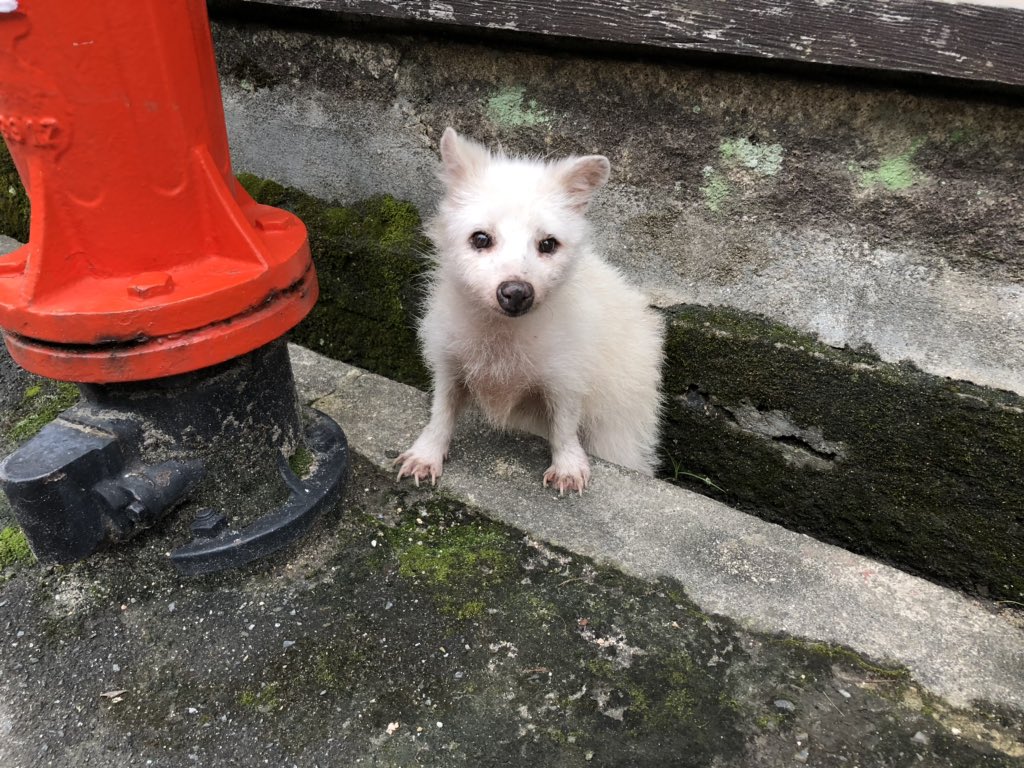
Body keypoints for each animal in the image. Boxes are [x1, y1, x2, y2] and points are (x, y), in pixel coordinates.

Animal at [391, 129, 663, 495]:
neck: (502, 332)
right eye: (480, 238)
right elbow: (442, 410)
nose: (517, 293)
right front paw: (426, 453)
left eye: (548, 244)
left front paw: (568, 466)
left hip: (620, 429)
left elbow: (564, 422)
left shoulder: (567, 373)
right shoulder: (448, 360)